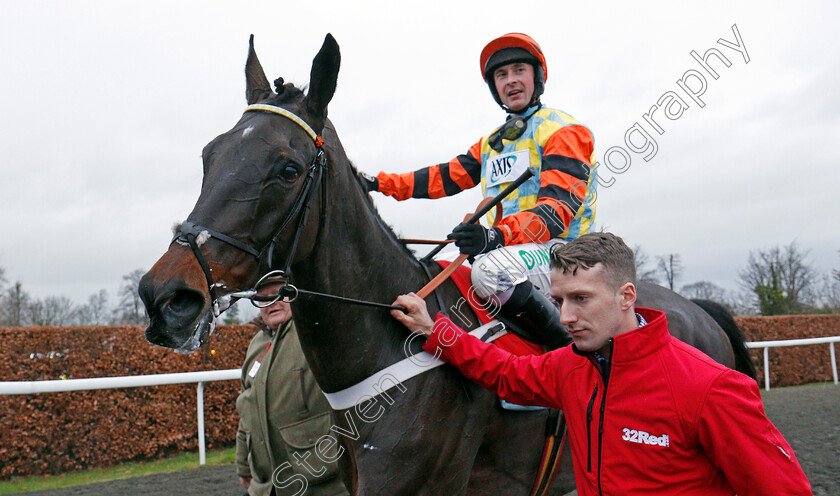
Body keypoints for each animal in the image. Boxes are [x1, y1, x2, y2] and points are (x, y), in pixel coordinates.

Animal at [138, 33, 756, 494]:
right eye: (208, 155)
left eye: (287, 169)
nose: (165, 298)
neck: (389, 351)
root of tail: (696, 307)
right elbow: (453, 167)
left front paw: (476, 232)